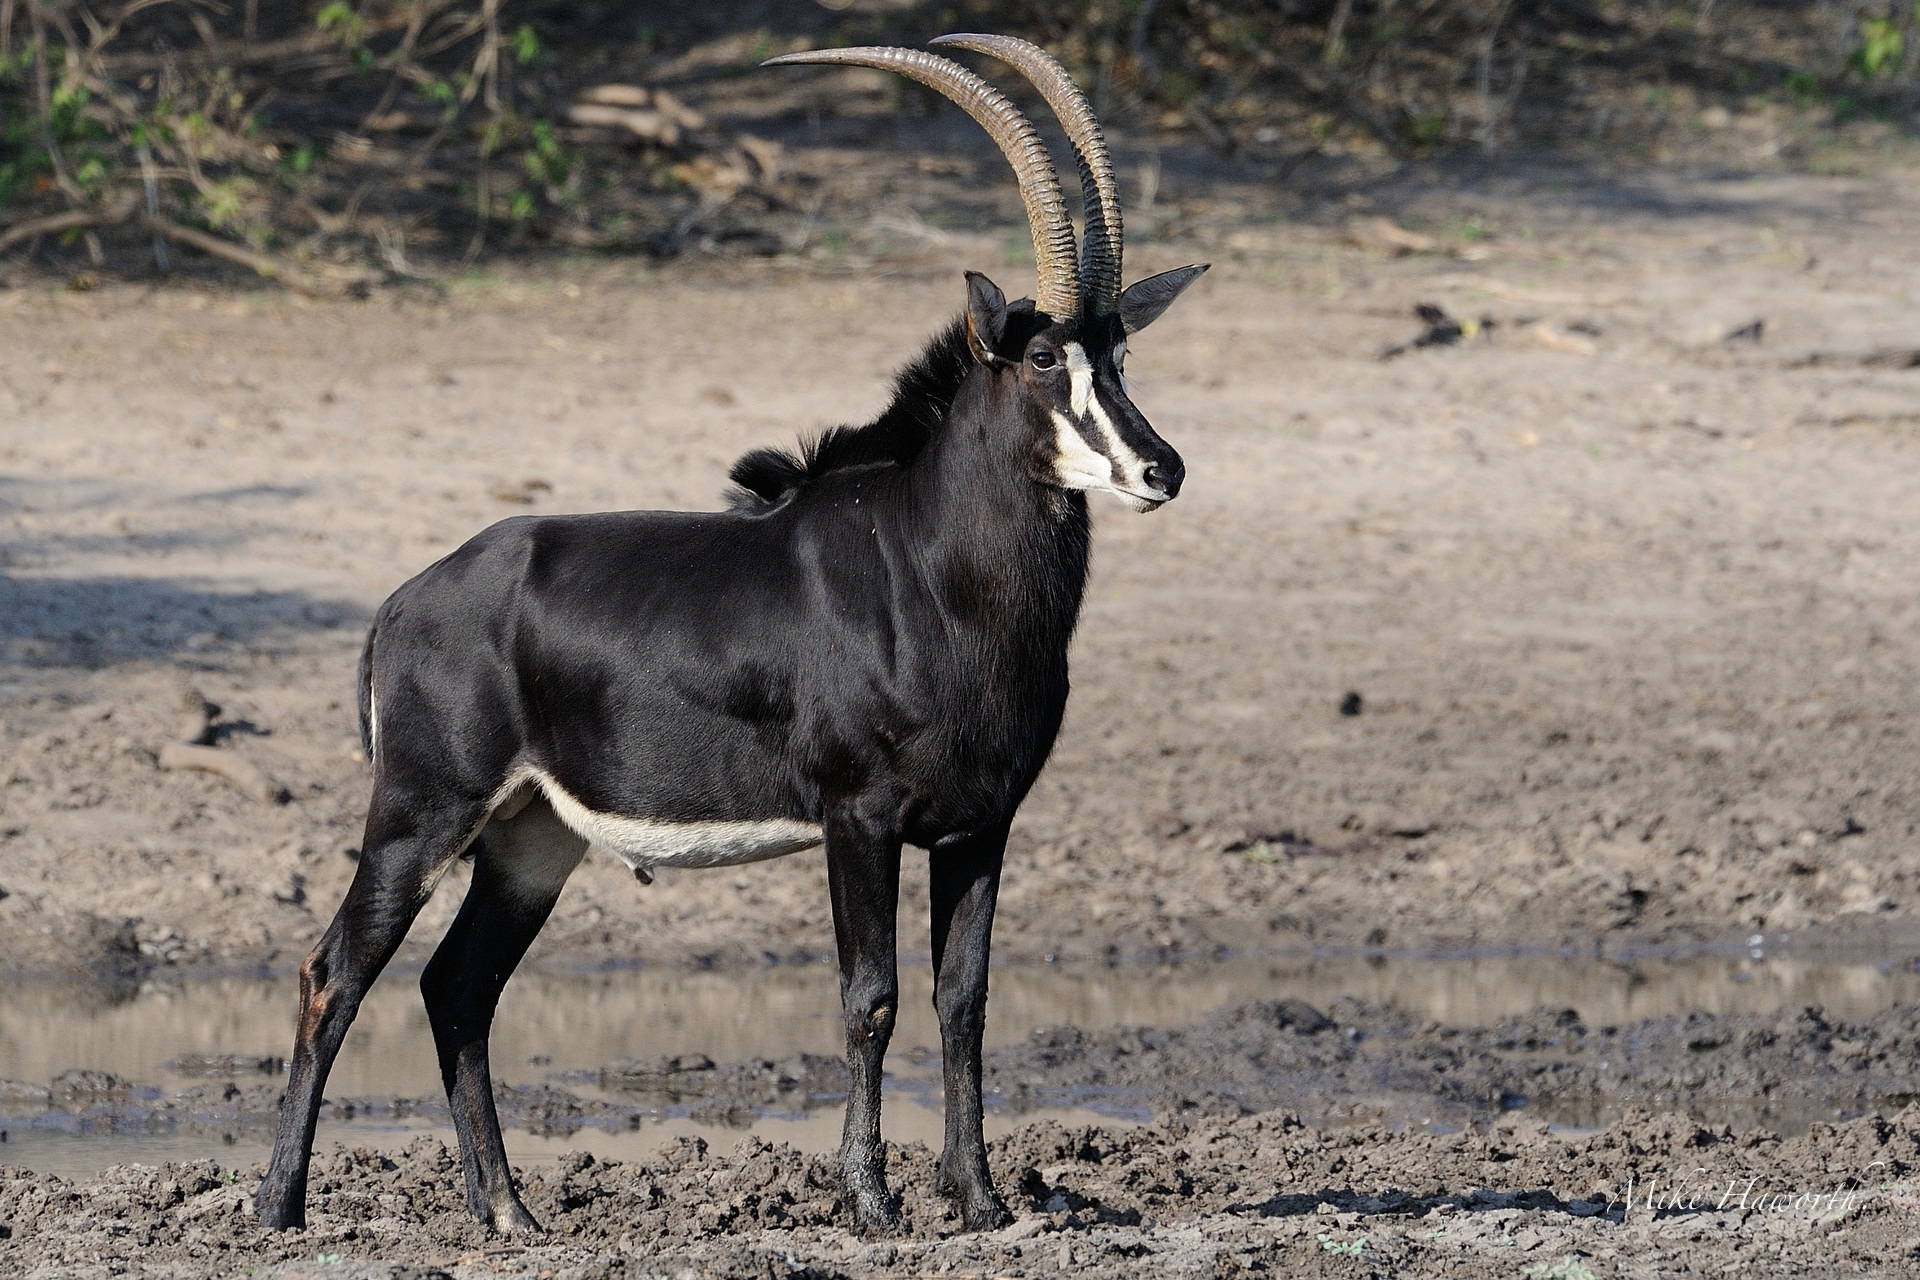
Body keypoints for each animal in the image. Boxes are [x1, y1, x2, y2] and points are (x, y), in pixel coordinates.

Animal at [255, 37, 1205, 1243]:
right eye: (1042, 359)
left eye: (1120, 351)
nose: (1161, 467)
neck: (928, 567)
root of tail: (400, 604)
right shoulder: (859, 819)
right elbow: (871, 998)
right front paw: (871, 1200)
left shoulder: (979, 825)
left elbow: (965, 999)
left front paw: (981, 1197)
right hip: (422, 813)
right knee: (334, 969)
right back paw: (280, 1207)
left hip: (529, 838)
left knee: (456, 988)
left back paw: (509, 1211)